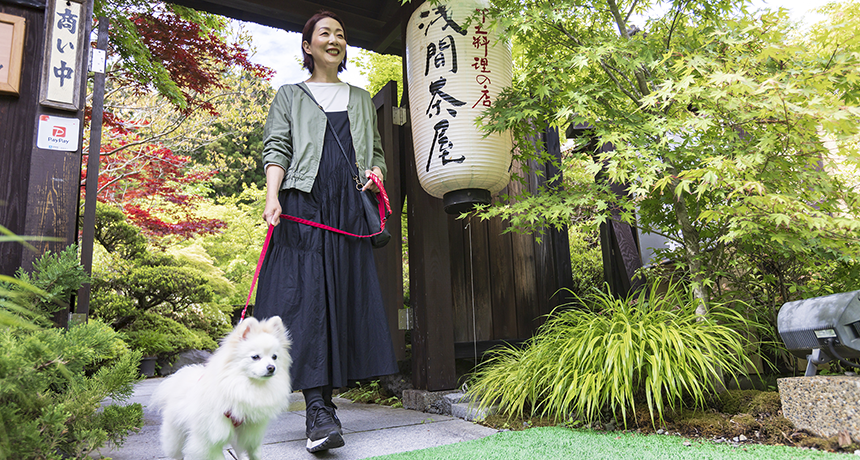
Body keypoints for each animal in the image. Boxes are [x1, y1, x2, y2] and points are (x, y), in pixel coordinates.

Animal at [151, 316, 292, 460]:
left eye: (274, 357)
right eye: (255, 357)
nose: (271, 367)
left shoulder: (250, 432)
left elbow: (254, 453)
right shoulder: (209, 439)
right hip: (176, 435)